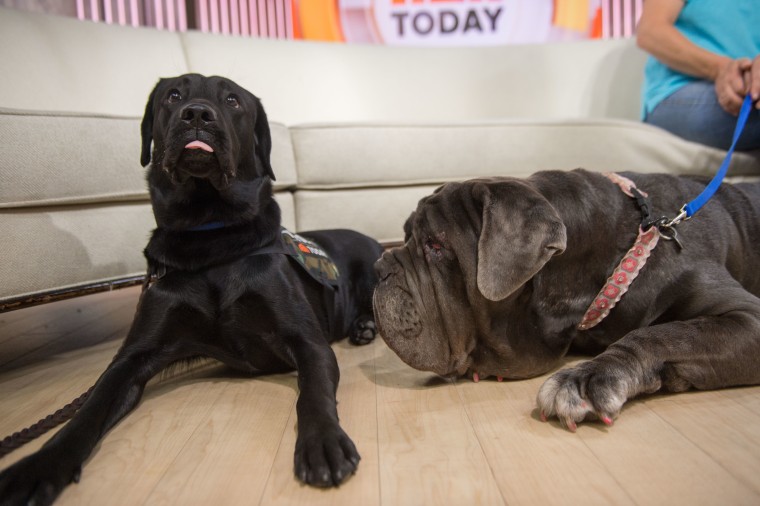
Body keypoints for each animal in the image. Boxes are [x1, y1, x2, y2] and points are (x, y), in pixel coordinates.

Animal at [0, 73, 382, 504]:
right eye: (173, 95)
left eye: (232, 100)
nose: (197, 114)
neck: (209, 234)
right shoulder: (132, 356)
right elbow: (89, 410)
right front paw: (38, 467)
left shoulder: (307, 341)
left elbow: (313, 392)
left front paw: (323, 442)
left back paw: (365, 327)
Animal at [372, 170, 760, 430]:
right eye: (406, 235)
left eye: (436, 245)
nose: (379, 267)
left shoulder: (748, 316)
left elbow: (665, 334)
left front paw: (587, 377)